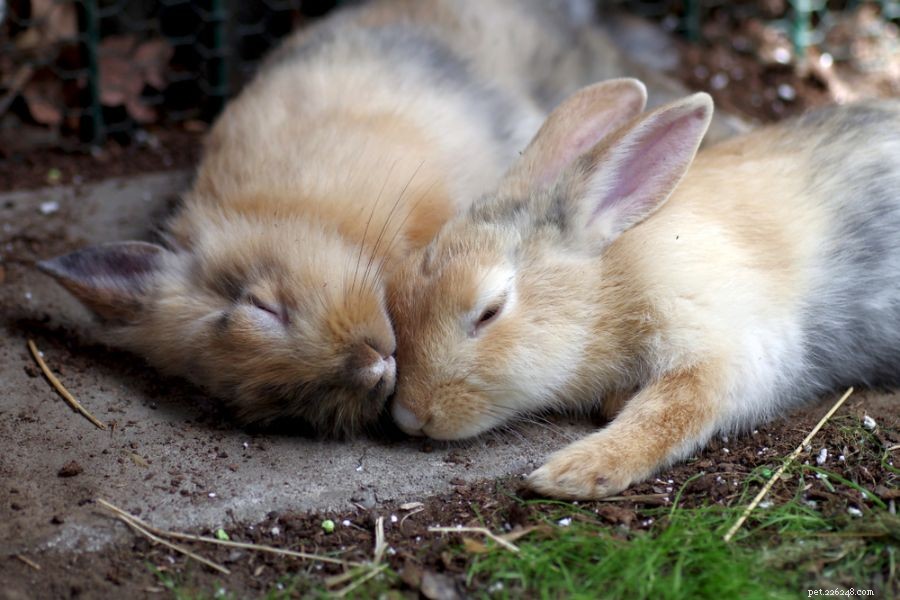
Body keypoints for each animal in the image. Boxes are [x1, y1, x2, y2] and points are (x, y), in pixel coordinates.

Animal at [387, 78, 900, 498]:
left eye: (490, 310)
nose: (409, 417)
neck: (606, 289)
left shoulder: (723, 348)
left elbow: (667, 414)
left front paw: (572, 474)